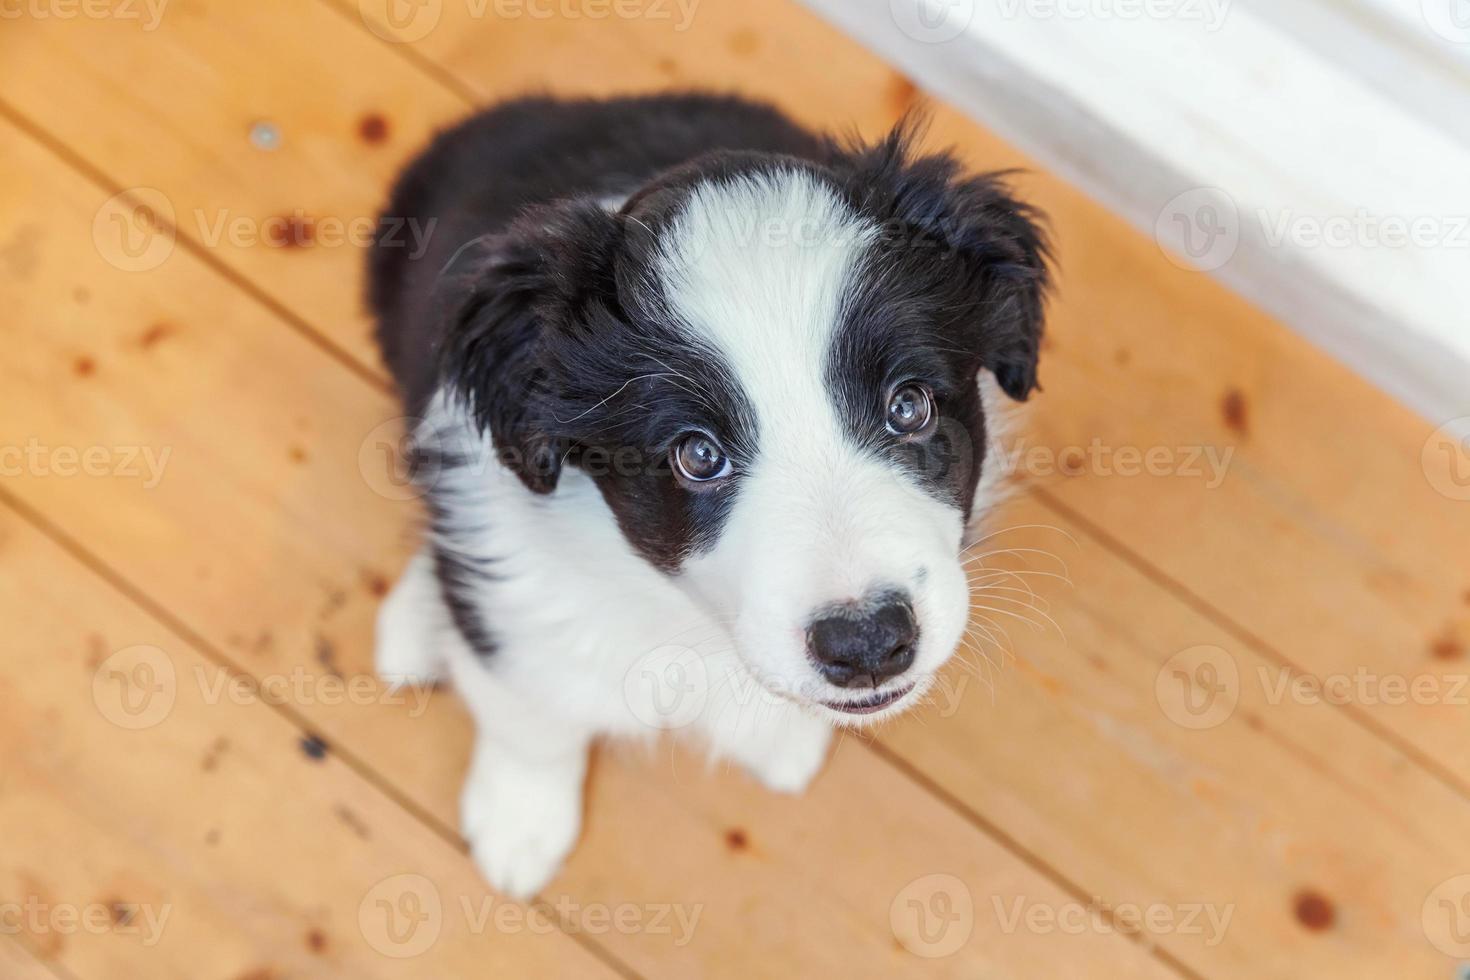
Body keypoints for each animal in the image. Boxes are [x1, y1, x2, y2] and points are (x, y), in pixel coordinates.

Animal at [373, 91, 1052, 899]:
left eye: (909, 406)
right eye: (698, 455)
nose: (867, 644)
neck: (691, 621)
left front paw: (782, 736)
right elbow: (528, 713)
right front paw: (519, 823)